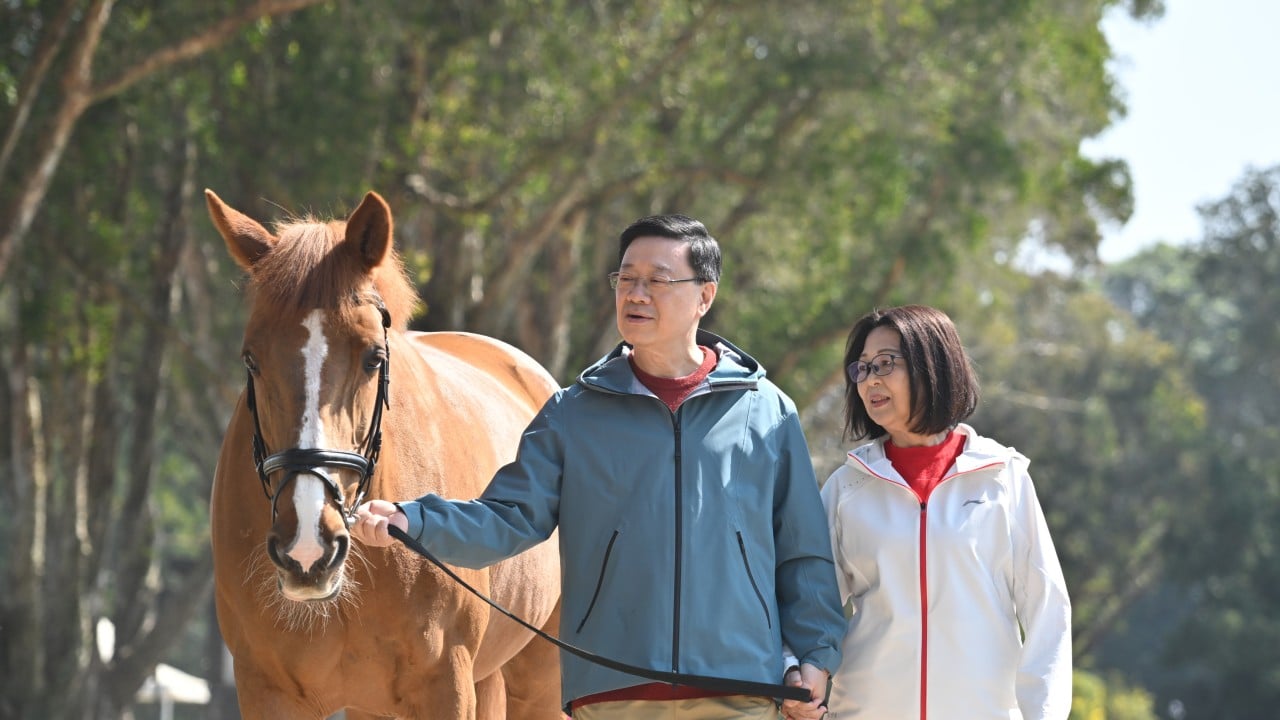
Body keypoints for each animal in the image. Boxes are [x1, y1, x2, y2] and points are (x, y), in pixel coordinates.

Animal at [205, 189, 564, 719]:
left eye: (374, 357)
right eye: (252, 359)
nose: (308, 546)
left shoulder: (445, 686)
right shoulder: (267, 691)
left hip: (538, 681)